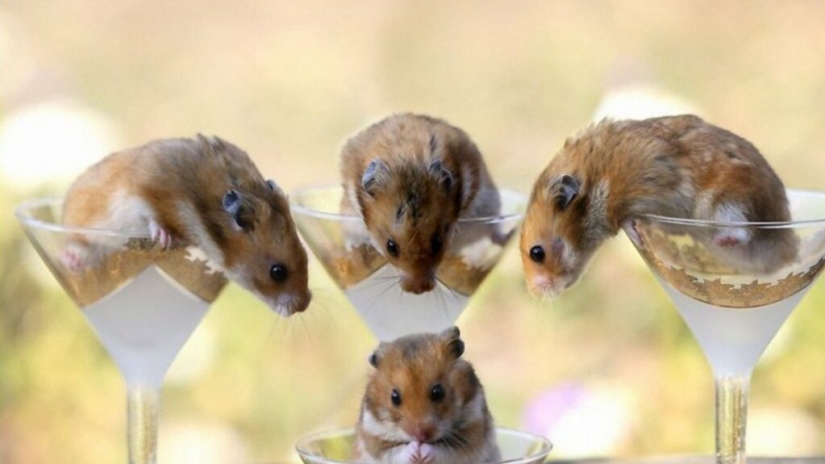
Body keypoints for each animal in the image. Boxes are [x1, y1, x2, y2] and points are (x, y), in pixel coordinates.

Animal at [61, 134, 311, 316]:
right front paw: (164, 238)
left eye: (306, 258)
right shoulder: (145, 189)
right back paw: (71, 259)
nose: (304, 305)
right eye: (278, 272)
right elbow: (151, 216)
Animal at [353, 326, 501, 464]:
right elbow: (395, 451)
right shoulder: (373, 438)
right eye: (394, 397)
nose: (421, 437)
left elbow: (444, 450)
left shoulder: (472, 430)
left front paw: (422, 451)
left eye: (438, 392)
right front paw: (415, 450)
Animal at [520, 114, 796, 296]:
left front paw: (638, 235)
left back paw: (723, 239)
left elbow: (627, 218)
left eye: (537, 253)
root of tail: (789, 244)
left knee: (741, 229)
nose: (536, 294)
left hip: (730, 198)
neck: (595, 179)